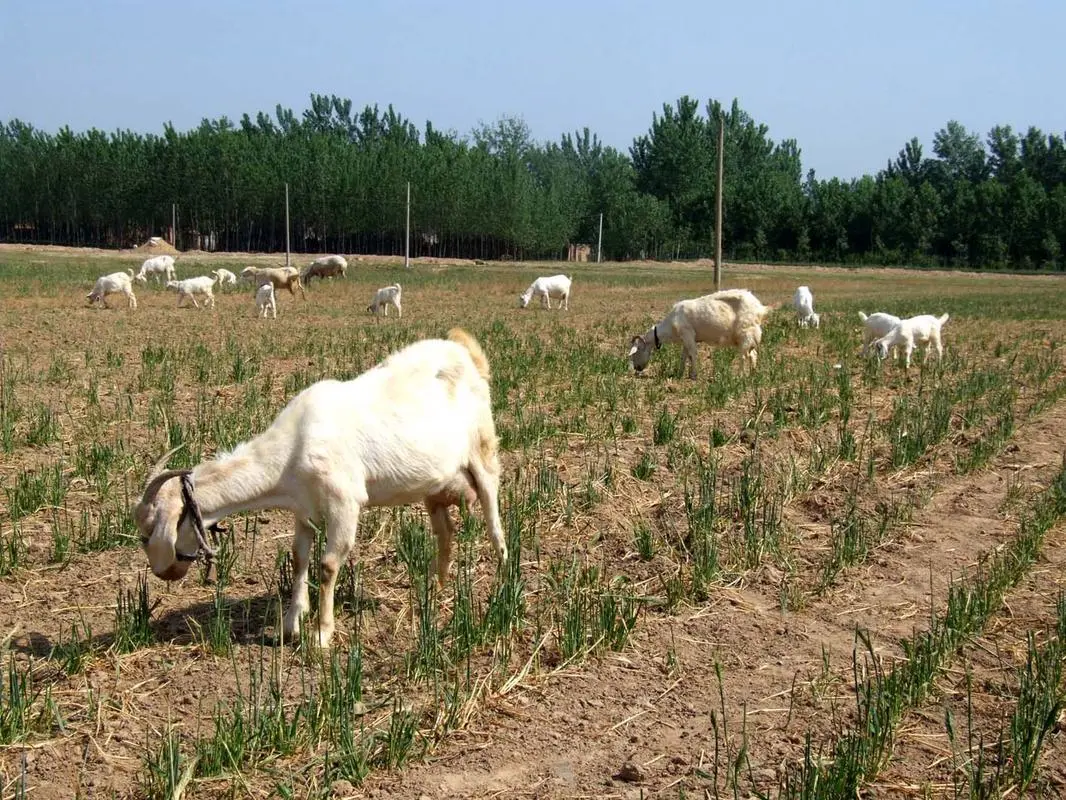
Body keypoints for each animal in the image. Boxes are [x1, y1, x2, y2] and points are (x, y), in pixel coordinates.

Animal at [133, 328, 507, 648]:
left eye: (148, 530)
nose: (164, 573)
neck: (292, 447)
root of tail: (465, 351)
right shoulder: (304, 509)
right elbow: (299, 558)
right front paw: (291, 623)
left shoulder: (345, 502)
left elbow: (327, 566)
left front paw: (321, 634)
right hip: (435, 485)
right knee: (445, 532)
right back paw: (434, 588)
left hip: (483, 451)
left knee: (493, 519)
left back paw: (503, 585)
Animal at [622, 288, 767, 381]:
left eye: (635, 352)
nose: (637, 369)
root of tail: (759, 307)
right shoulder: (685, 339)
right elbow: (684, 356)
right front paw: (679, 373)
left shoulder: (688, 334)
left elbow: (693, 354)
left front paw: (694, 375)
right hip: (747, 337)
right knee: (753, 354)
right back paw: (753, 374)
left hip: (745, 333)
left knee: (743, 356)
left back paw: (740, 376)